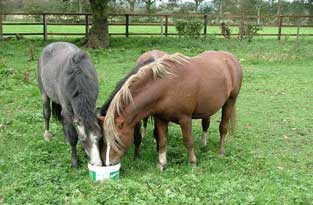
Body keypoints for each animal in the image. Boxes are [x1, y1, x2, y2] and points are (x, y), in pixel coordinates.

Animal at [99, 50, 241, 170]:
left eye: (116, 140)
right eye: (104, 140)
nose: (108, 163)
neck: (166, 88)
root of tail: (231, 58)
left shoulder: (185, 119)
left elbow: (188, 141)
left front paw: (192, 162)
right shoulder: (161, 119)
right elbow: (162, 141)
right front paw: (161, 164)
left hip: (230, 100)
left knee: (223, 127)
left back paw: (221, 152)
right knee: (206, 123)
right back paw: (203, 145)